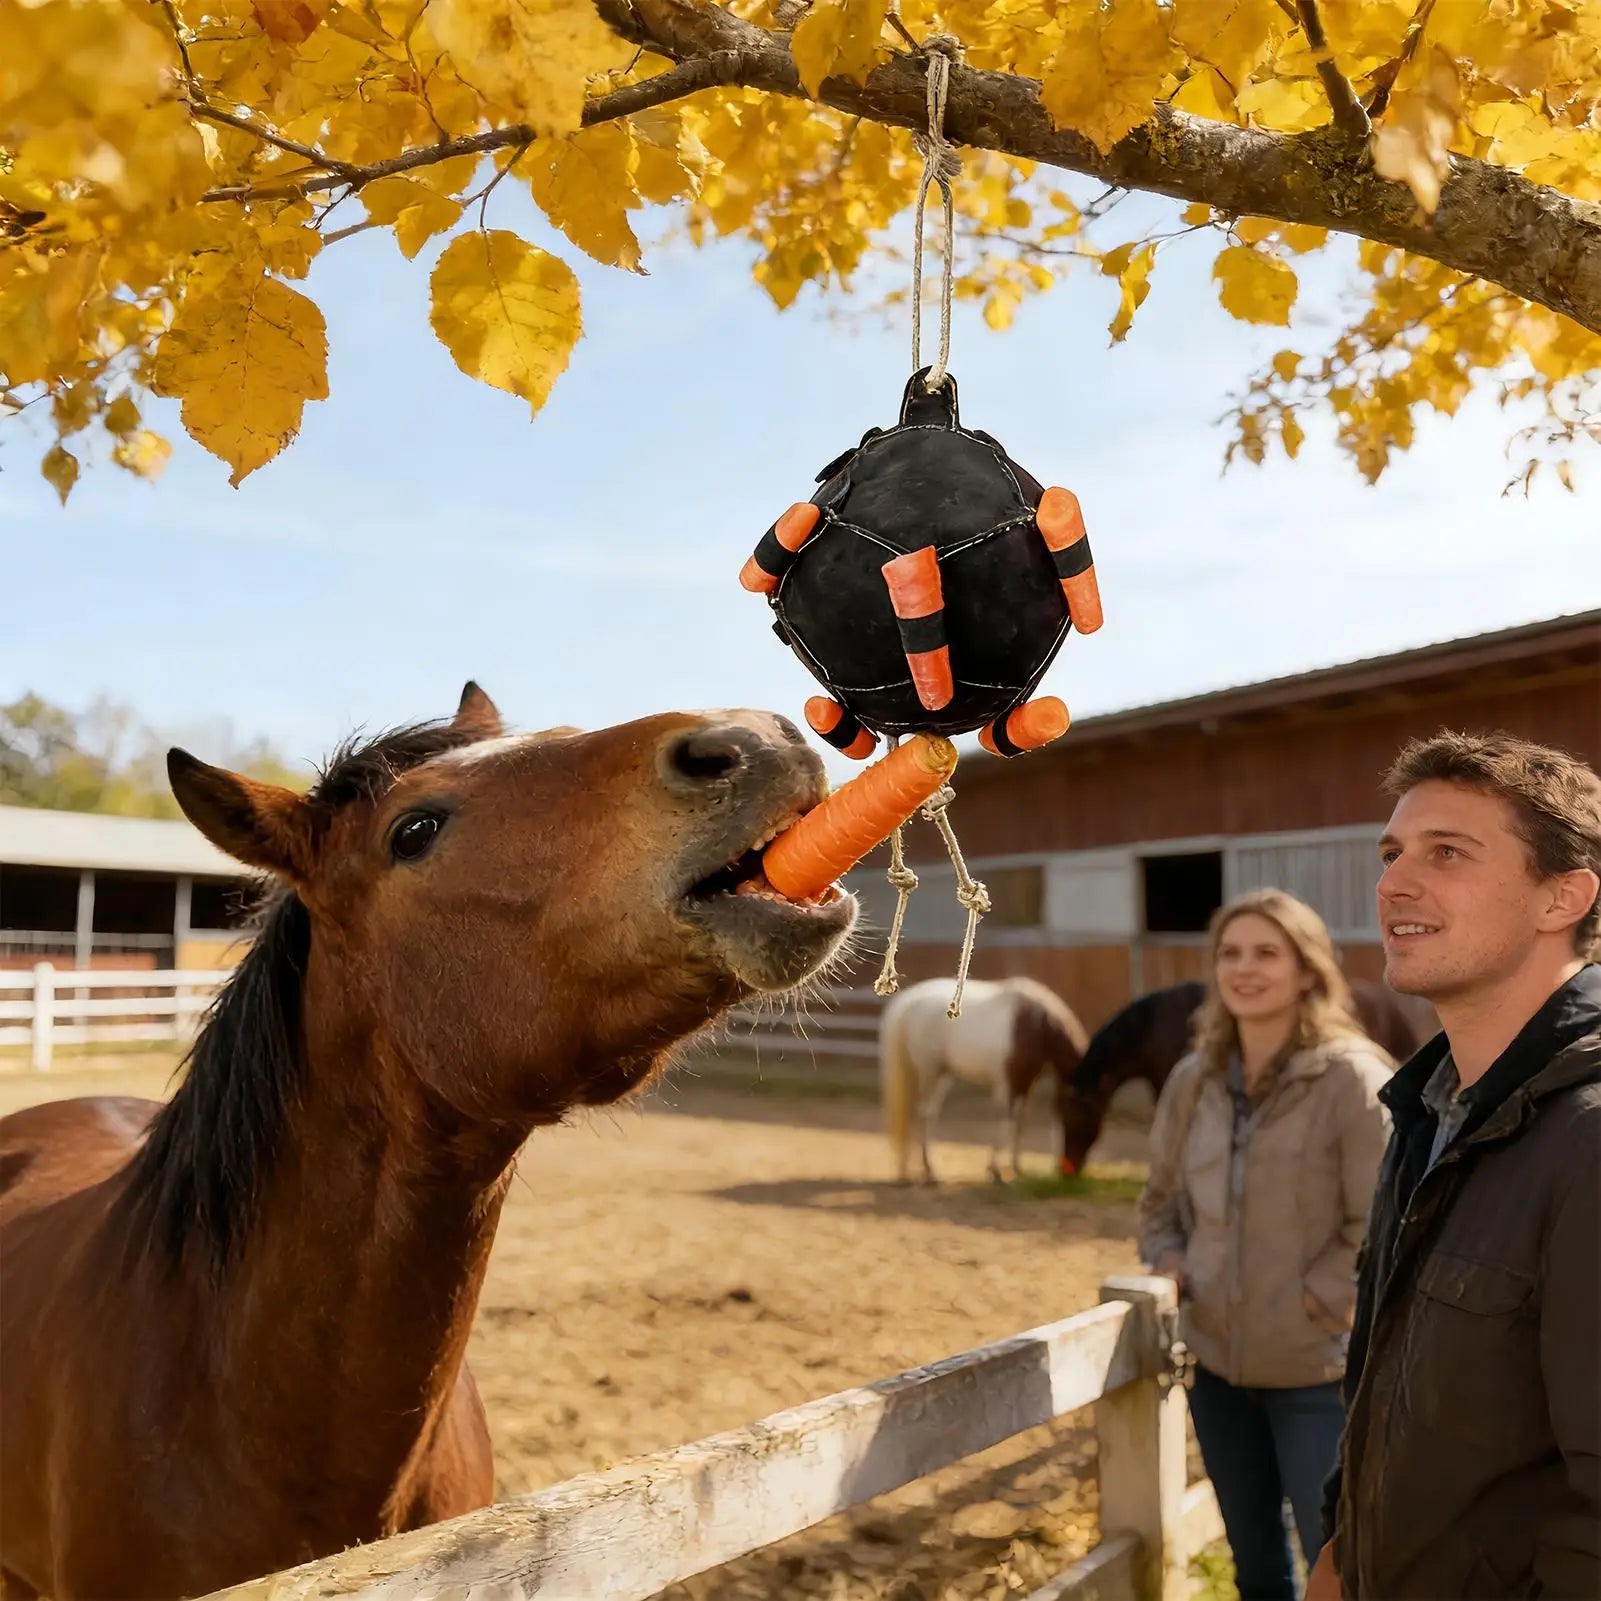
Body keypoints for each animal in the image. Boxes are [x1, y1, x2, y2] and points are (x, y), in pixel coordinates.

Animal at [879, 976, 1088, 1185]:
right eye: (1077, 1118)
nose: (1069, 1170)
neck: (1038, 1025)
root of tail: (909, 1001)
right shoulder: (1008, 1084)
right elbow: (1006, 1121)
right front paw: (995, 1170)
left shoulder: (1026, 1084)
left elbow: (1020, 1123)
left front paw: (1017, 1168)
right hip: (930, 1073)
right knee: (924, 1114)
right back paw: (929, 1170)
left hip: (934, 1075)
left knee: (918, 1114)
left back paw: (908, 1170)